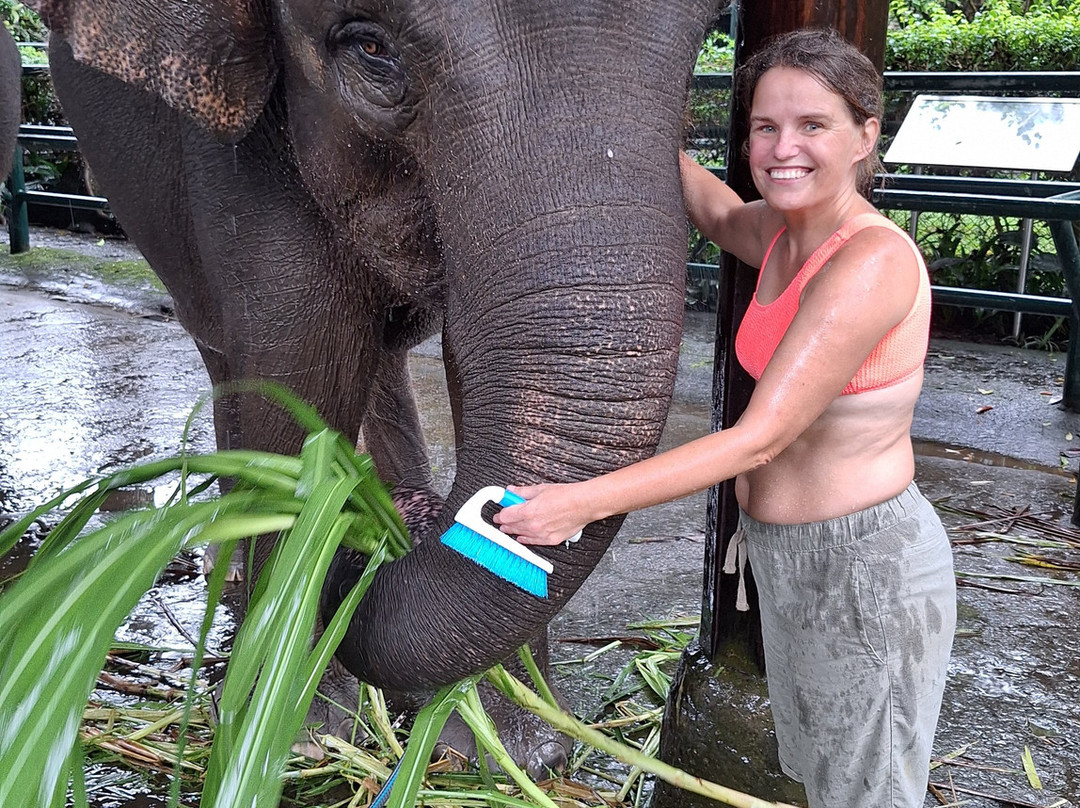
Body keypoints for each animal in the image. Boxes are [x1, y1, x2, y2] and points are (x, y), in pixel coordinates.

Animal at [26, 0, 719, 776]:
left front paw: (516, 756)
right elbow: (301, 363)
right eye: (369, 48)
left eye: (707, 31)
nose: (375, 543)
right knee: (226, 352)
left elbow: (462, 353)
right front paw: (295, 735)